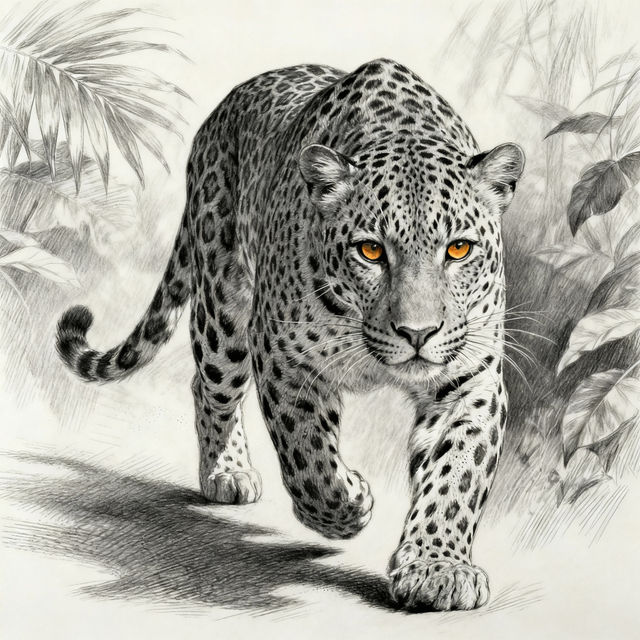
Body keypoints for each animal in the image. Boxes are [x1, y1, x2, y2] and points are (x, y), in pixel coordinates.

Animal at [56, 58, 524, 611]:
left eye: (458, 249)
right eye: (370, 251)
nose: (417, 332)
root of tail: (225, 107)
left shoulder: (469, 380)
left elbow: (457, 472)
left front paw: (438, 567)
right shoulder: (284, 358)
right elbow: (309, 457)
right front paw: (348, 504)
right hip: (224, 315)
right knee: (209, 386)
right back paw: (226, 473)